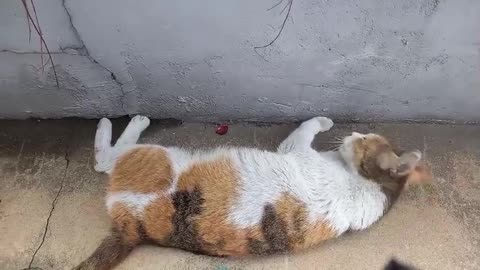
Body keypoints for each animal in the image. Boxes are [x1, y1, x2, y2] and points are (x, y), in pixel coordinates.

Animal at [73, 116, 434, 270]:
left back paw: (125, 121)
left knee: (105, 161)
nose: (352, 134)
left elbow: (307, 126)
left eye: (363, 142)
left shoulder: (295, 148)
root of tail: (133, 229)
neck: (373, 188)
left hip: (152, 156)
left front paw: (324, 121)